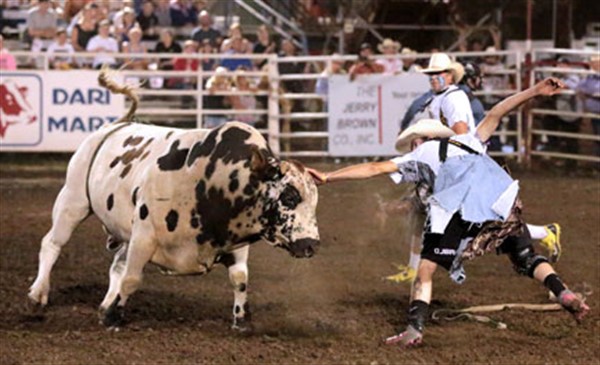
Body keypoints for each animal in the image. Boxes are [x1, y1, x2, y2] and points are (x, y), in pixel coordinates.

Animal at [28, 69, 322, 328]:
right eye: (289, 197)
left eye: (314, 201)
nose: (311, 245)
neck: (210, 180)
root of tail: (115, 124)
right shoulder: (144, 234)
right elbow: (131, 279)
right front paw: (113, 317)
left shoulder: (236, 238)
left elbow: (240, 278)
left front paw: (241, 321)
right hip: (73, 199)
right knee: (52, 243)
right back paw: (38, 295)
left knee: (116, 264)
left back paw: (104, 302)